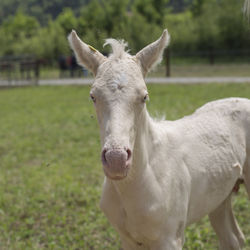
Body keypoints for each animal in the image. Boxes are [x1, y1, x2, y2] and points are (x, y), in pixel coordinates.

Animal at [67, 28, 249, 248]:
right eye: (93, 96)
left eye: (144, 97)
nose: (116, 160)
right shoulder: (127, 239)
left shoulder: (170, 239)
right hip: (219, 198)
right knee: (233, 239)